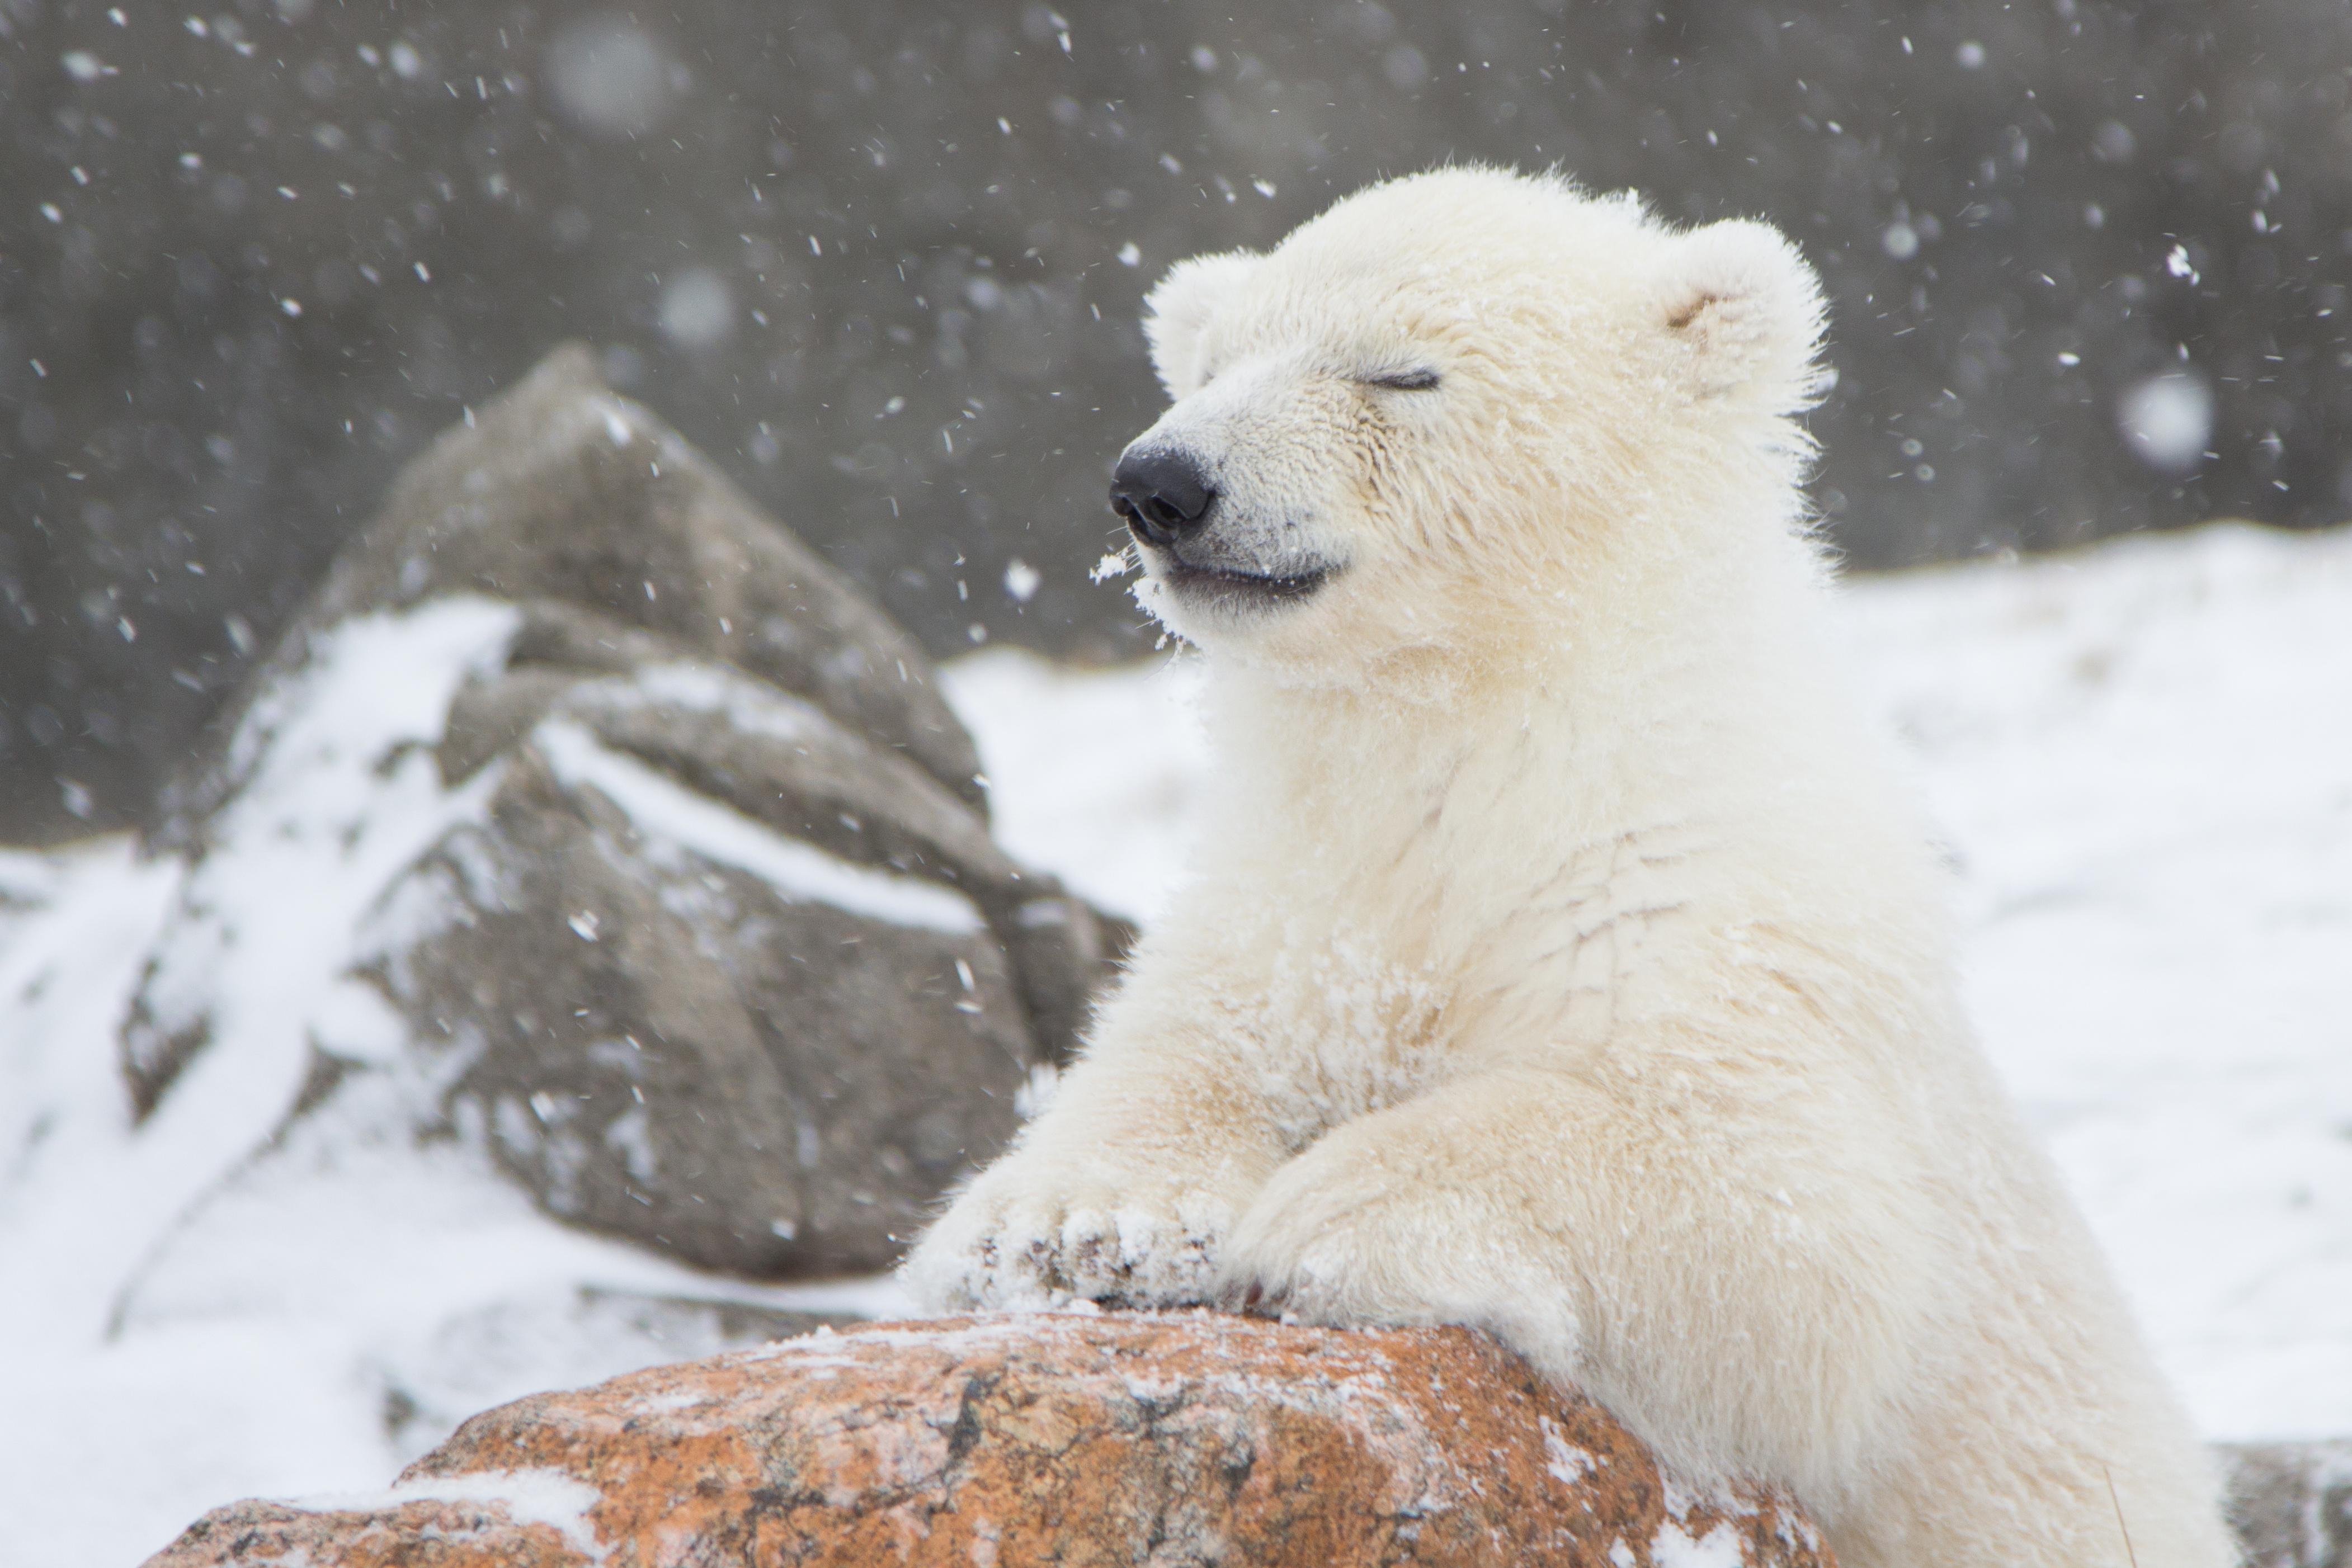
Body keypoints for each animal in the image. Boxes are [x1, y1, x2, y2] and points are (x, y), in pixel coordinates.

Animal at [904, 168, 2235, 1568]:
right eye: (1213, 363)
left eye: (1400, 371)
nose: (1159, 480)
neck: (1486, 748)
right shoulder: (1298, 899)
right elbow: (1180, 1042)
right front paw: (1070, 1228)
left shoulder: (1713, 928)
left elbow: (1789, 1226)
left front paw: (1327, 1212)